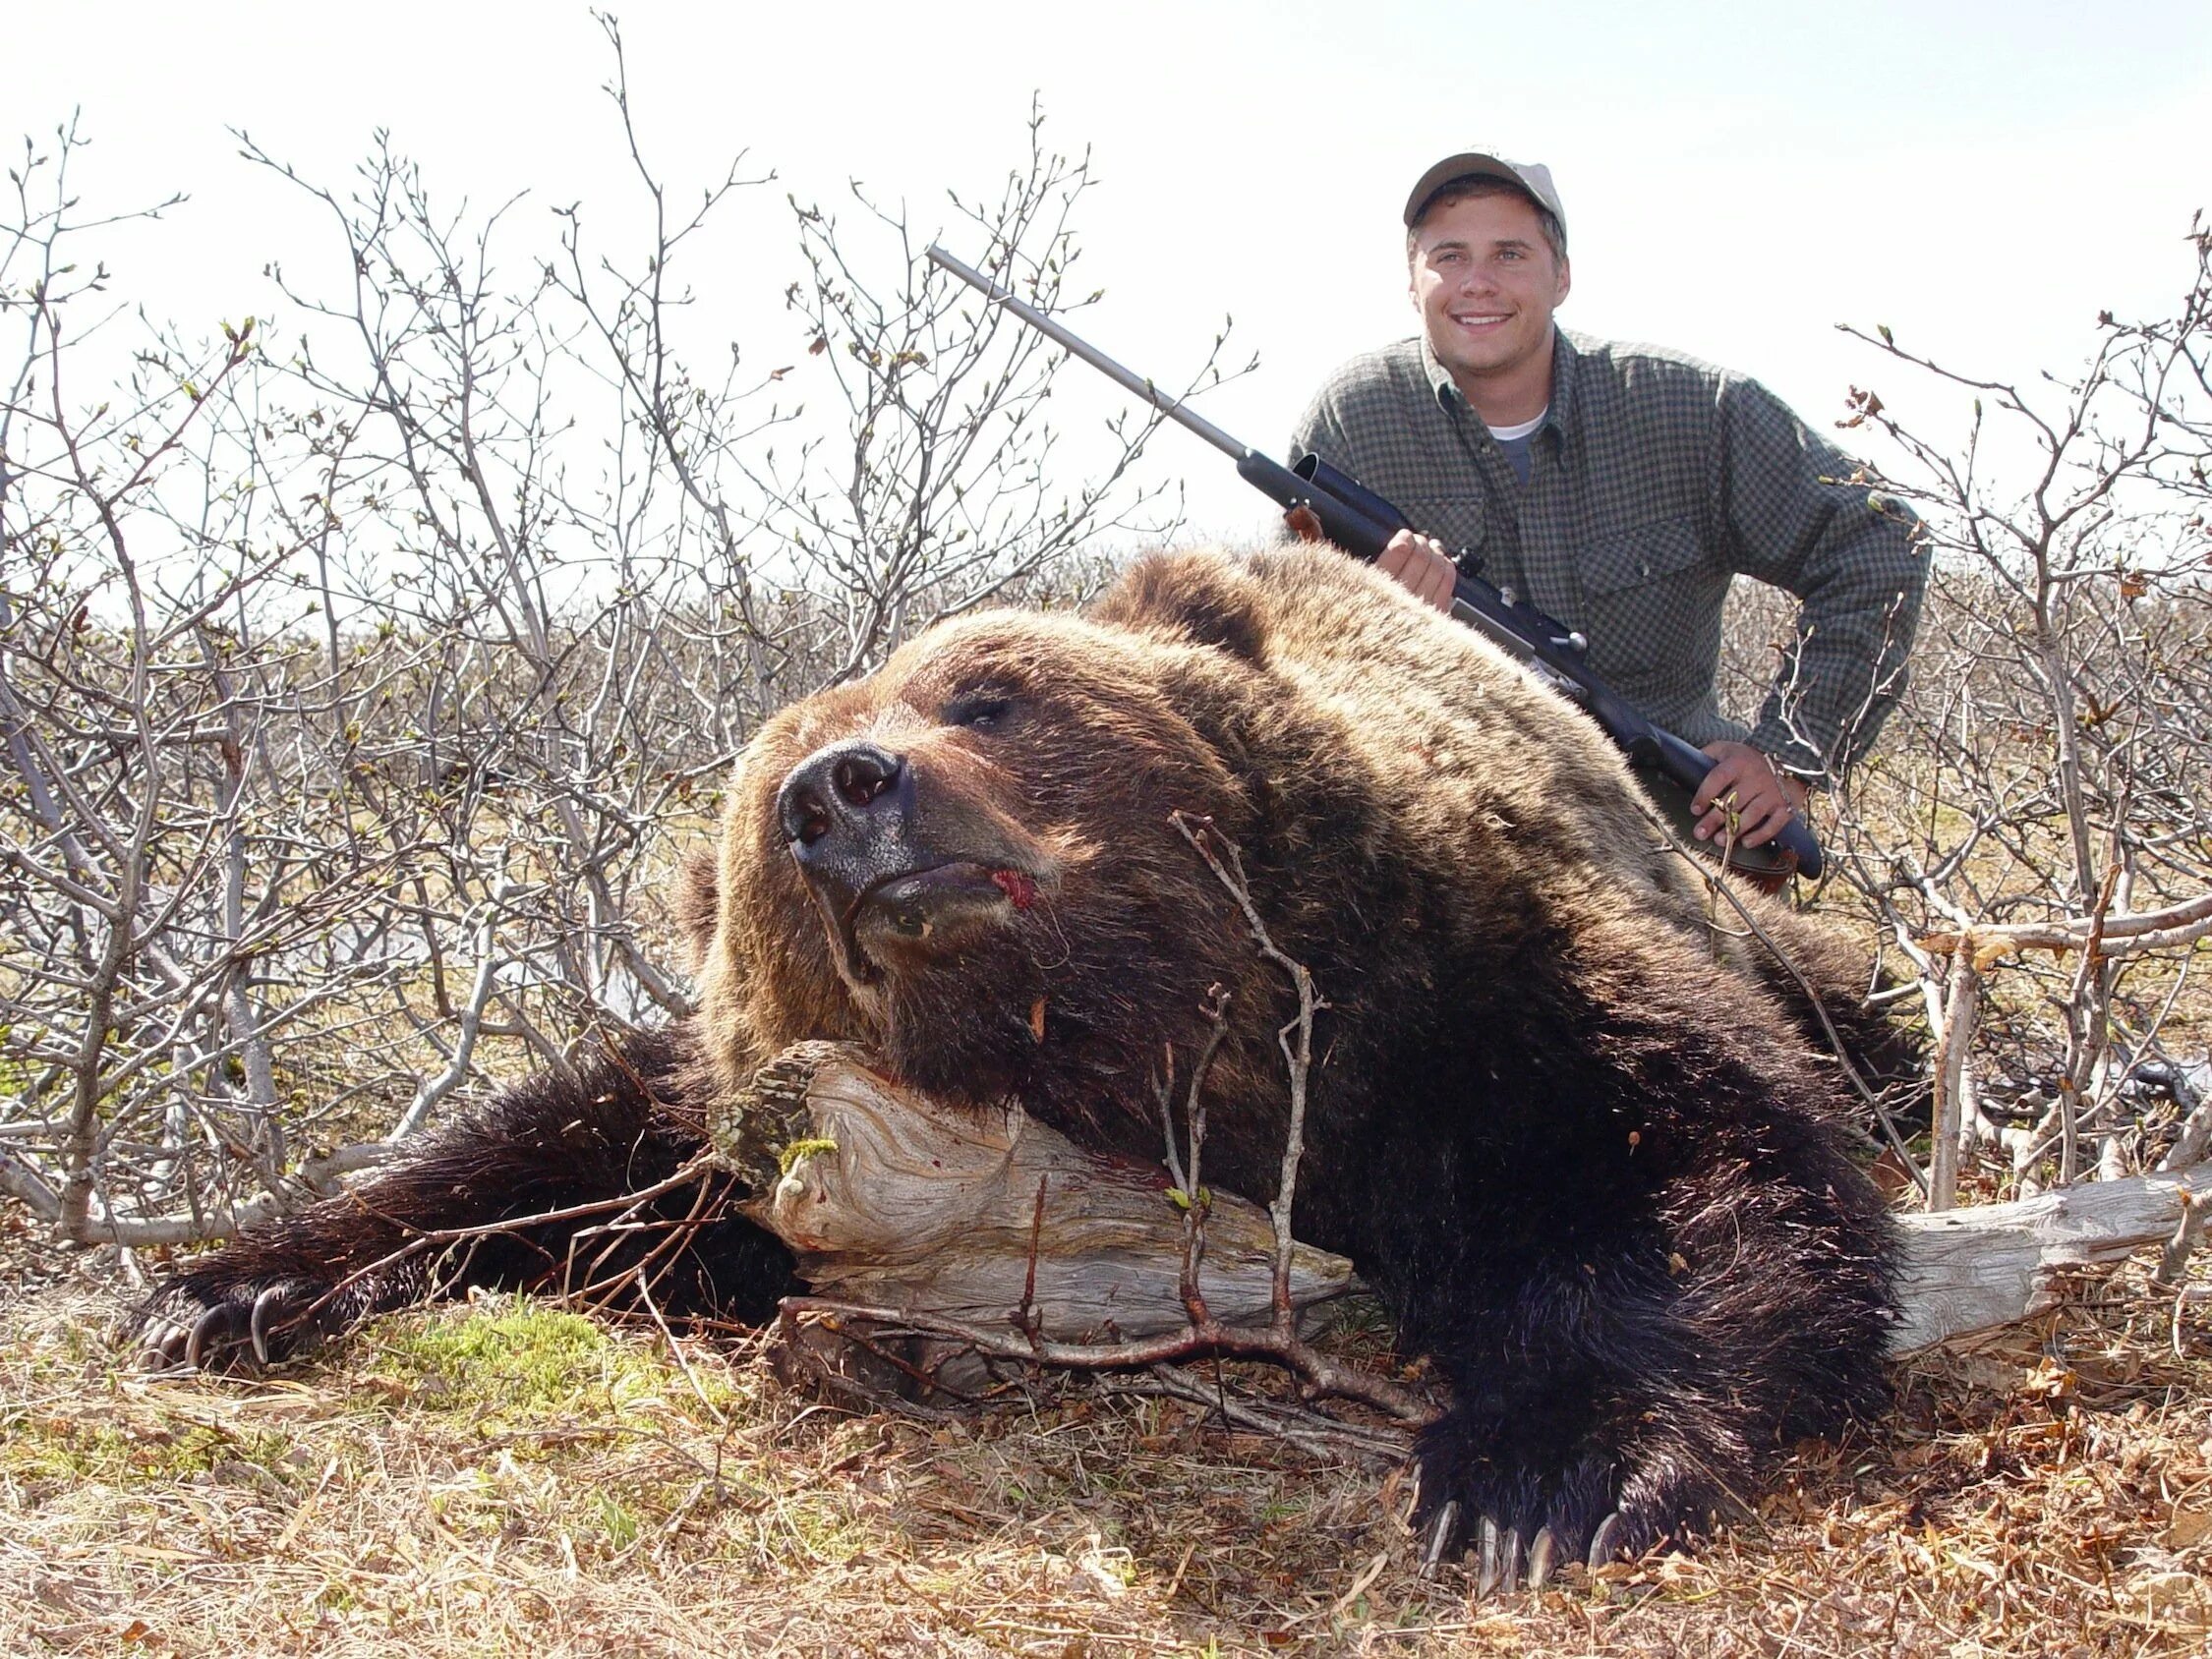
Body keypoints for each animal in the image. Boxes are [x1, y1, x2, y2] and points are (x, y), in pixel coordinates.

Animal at [134, 545, 1902, 1583]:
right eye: (766, 797)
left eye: (989, 692)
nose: (843, 793)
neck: (1149, 1054)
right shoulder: (761, 1132)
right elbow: (562, 1168)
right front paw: (229, 1282)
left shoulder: (1468, 980)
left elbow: (1683, 1160)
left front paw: (1543, 1466)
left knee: (1861, 1007)